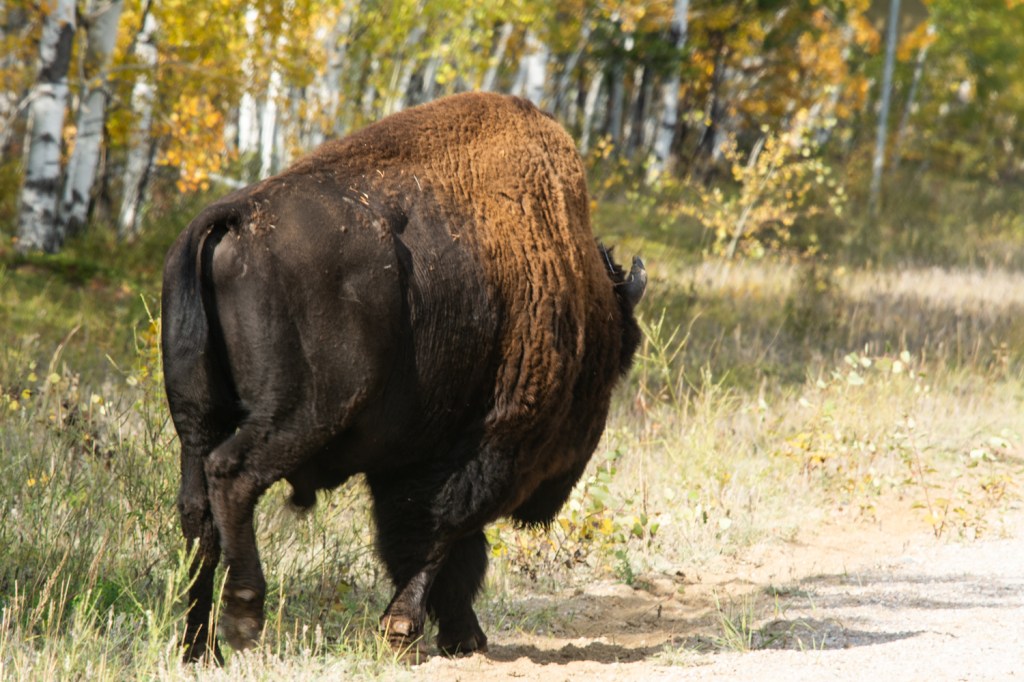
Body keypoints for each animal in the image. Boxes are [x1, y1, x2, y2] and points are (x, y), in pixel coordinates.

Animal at [161, 92, 646, 663]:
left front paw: (456, 635)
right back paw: (243, 618)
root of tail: (234, 217)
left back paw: (197, 646)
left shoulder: (408, 461)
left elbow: (430, 543)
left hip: (197, 419)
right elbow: (443, 535)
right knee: (233, 475)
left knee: (198, 515)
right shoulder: (480, 449)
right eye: (612, 370)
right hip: (302, 414)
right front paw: (408, 631)